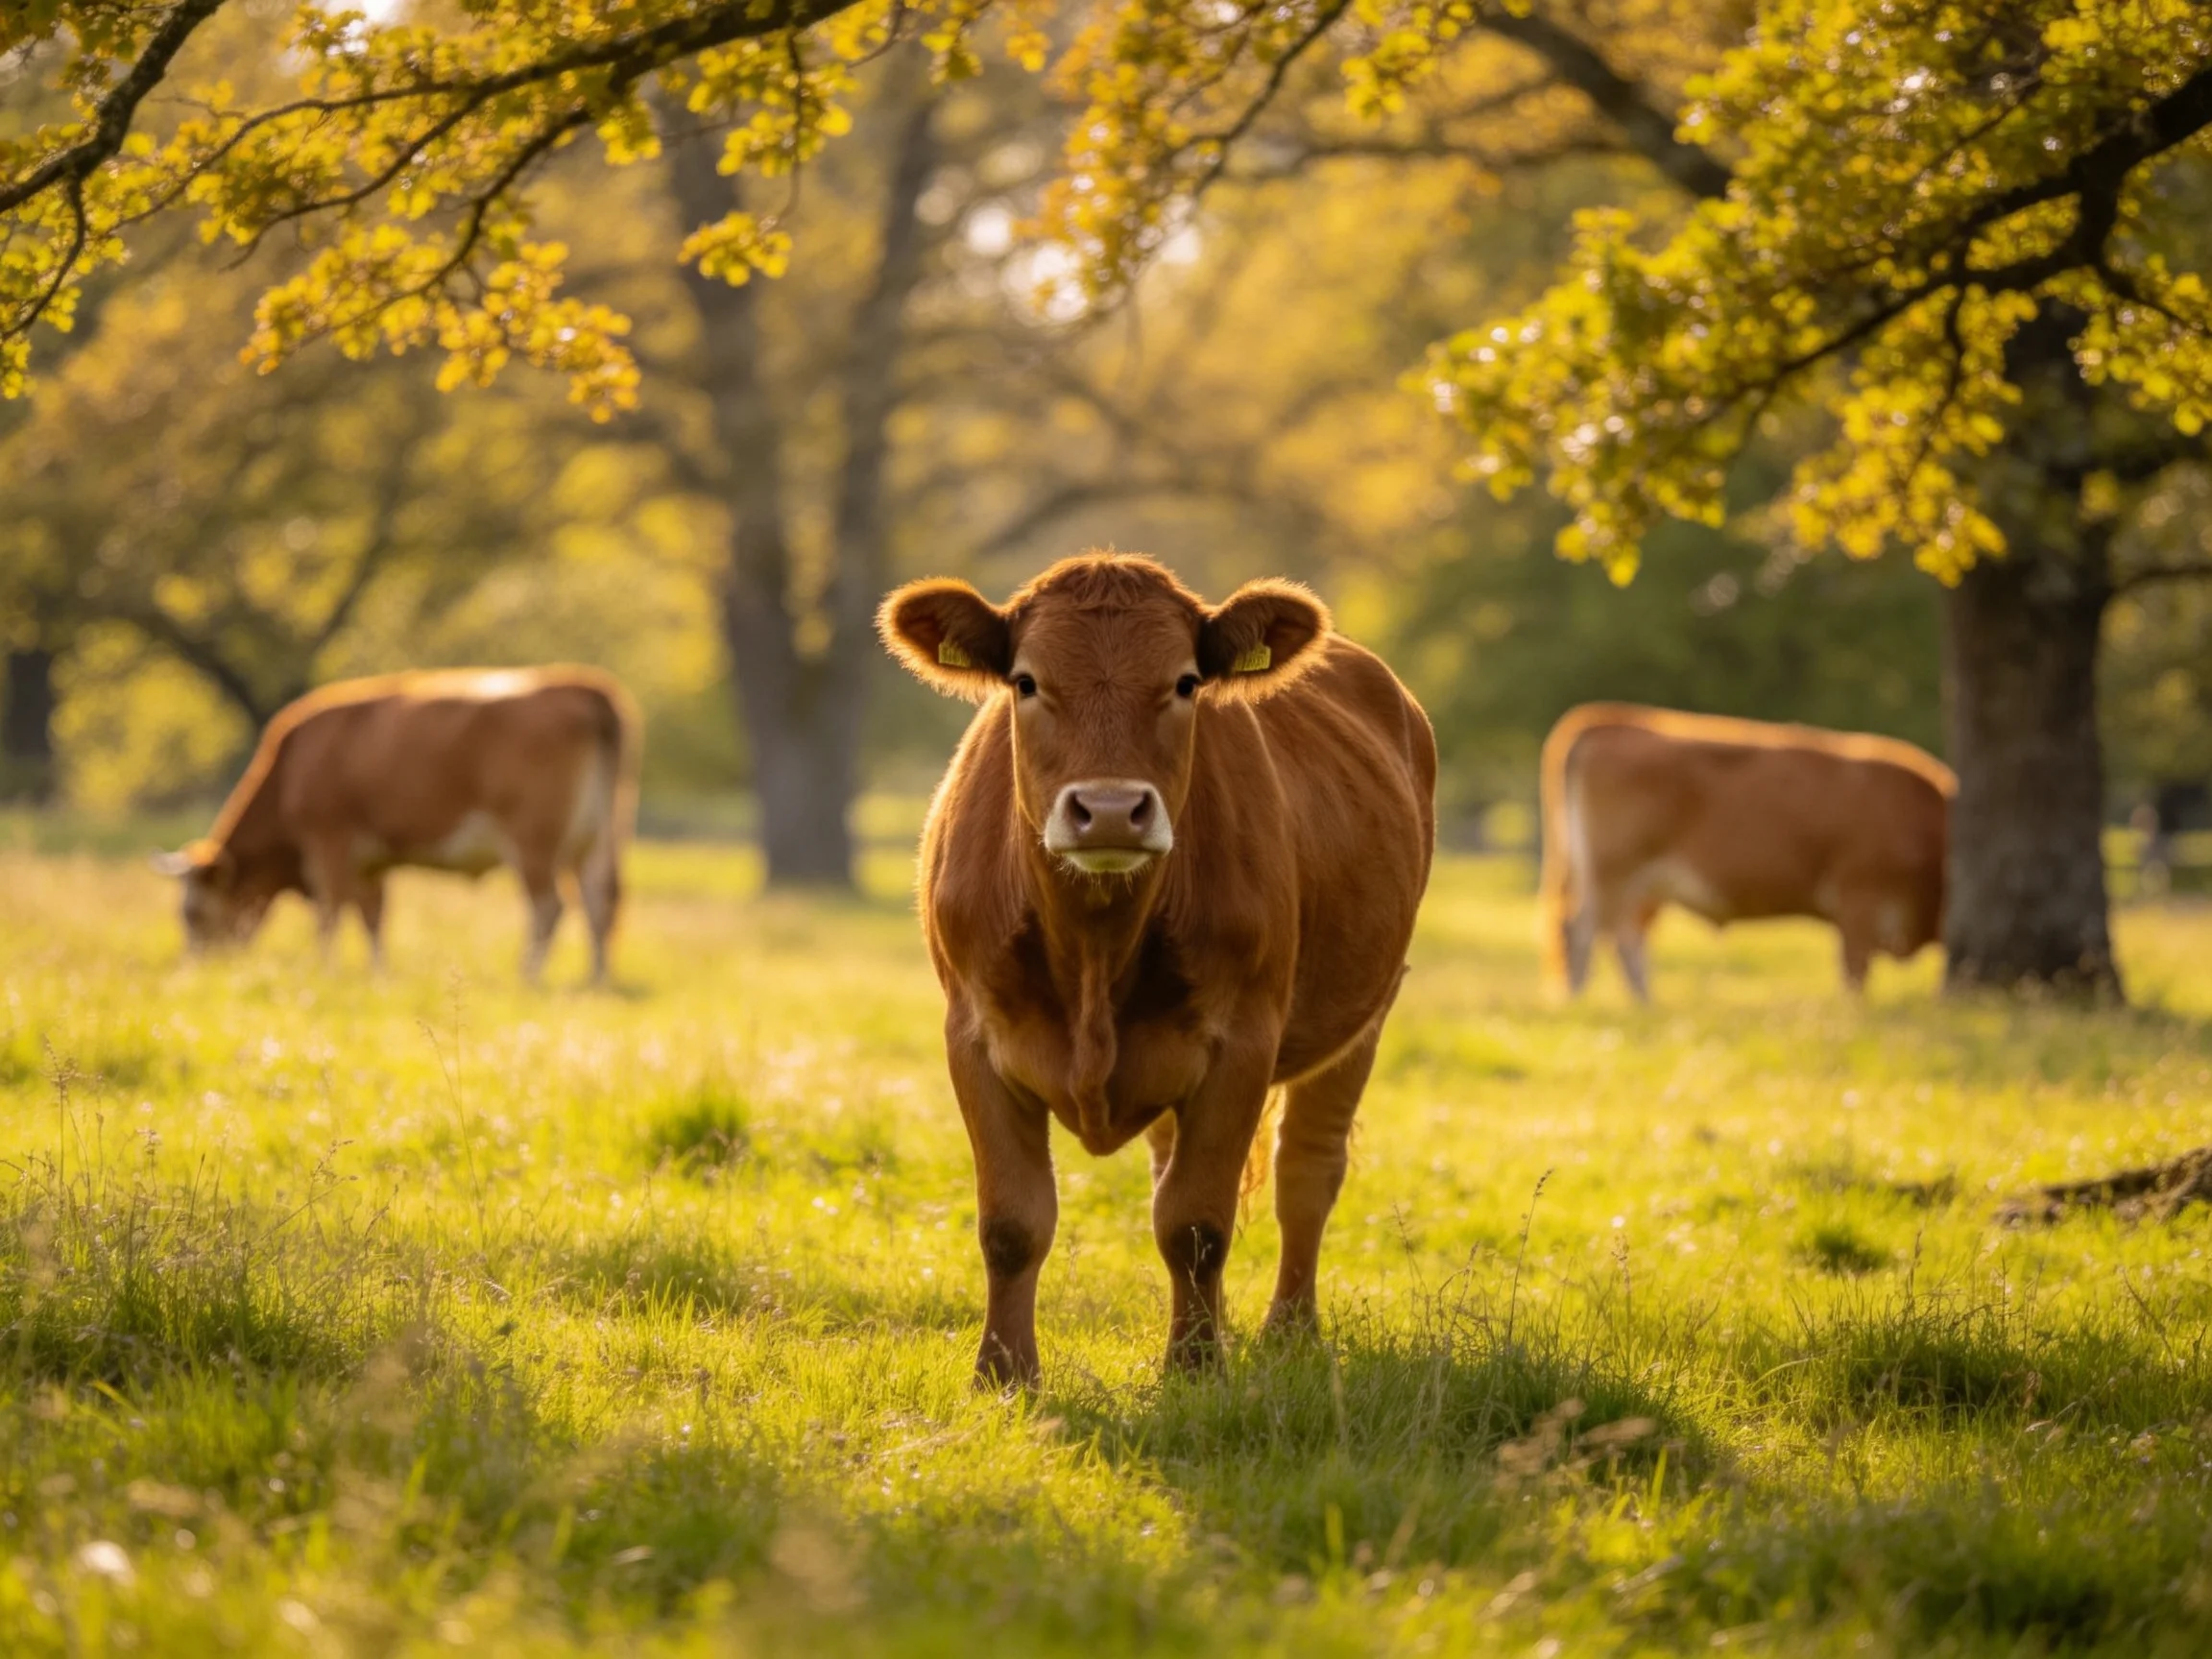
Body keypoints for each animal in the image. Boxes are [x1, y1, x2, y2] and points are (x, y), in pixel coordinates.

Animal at [153, 667, 638, 983]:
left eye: (193, 914)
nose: (198, 967)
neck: (291, 769)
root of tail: (583, 688)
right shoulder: (372, 861)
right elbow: (373, 917)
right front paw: (378, 974)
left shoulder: (329, 841)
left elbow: (330, 913)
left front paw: (323, 970)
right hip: (595, 839)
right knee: (599, 902)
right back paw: (597, 980)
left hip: (534, 840)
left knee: (549, 906)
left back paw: (528, 976)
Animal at [879, 553, 1436, 1386]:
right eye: (1026, 681)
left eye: (1185, 682)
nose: (1110, 810)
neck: (1095, 950)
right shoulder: (974, 1036)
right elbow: (1012, 1223)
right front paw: (1004, 1374)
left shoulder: (1242, 1042)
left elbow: (1196, 1222)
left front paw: (1196, 1370)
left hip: (1363, 1018)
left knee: (1305, 1174)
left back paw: (1288, 1332)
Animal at [1537, 703, 1952, 1000]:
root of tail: (1608, 724)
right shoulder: (1858, 900)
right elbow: (1855, 974)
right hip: (1613, 870)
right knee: (1583, 931)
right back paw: (1582, 1002)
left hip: (1644, 884)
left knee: (1625, 938)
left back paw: (1646, 1006)